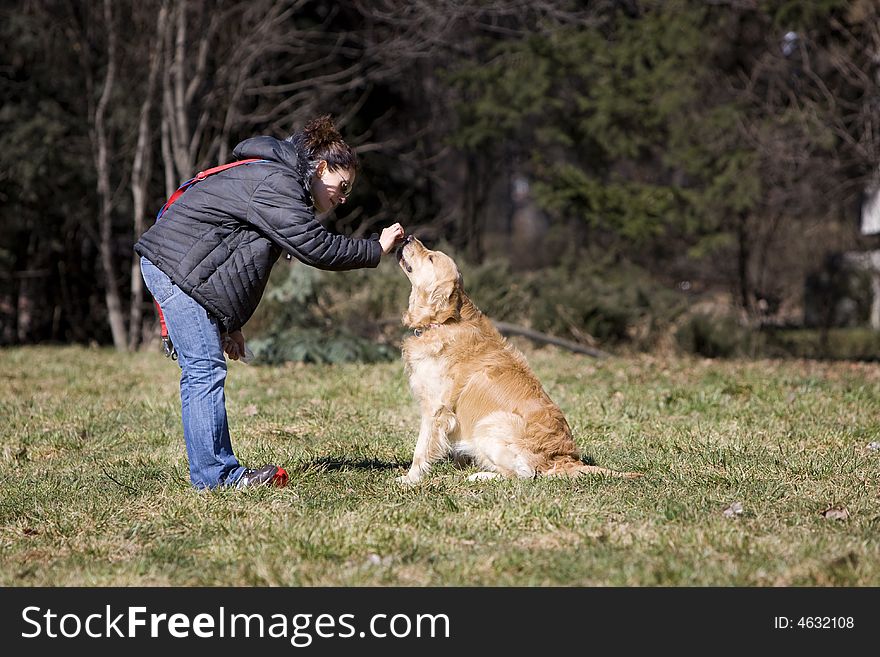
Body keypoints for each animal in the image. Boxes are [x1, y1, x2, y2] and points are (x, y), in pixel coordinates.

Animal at [398, 236, 640, 482]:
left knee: (522, 475)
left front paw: (409, 479)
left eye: (430, 257)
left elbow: (421, 449)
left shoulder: (435, 409)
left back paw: (481, 476)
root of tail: (564, 459)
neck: (443, 322)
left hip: (489, 424)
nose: (408, 237)